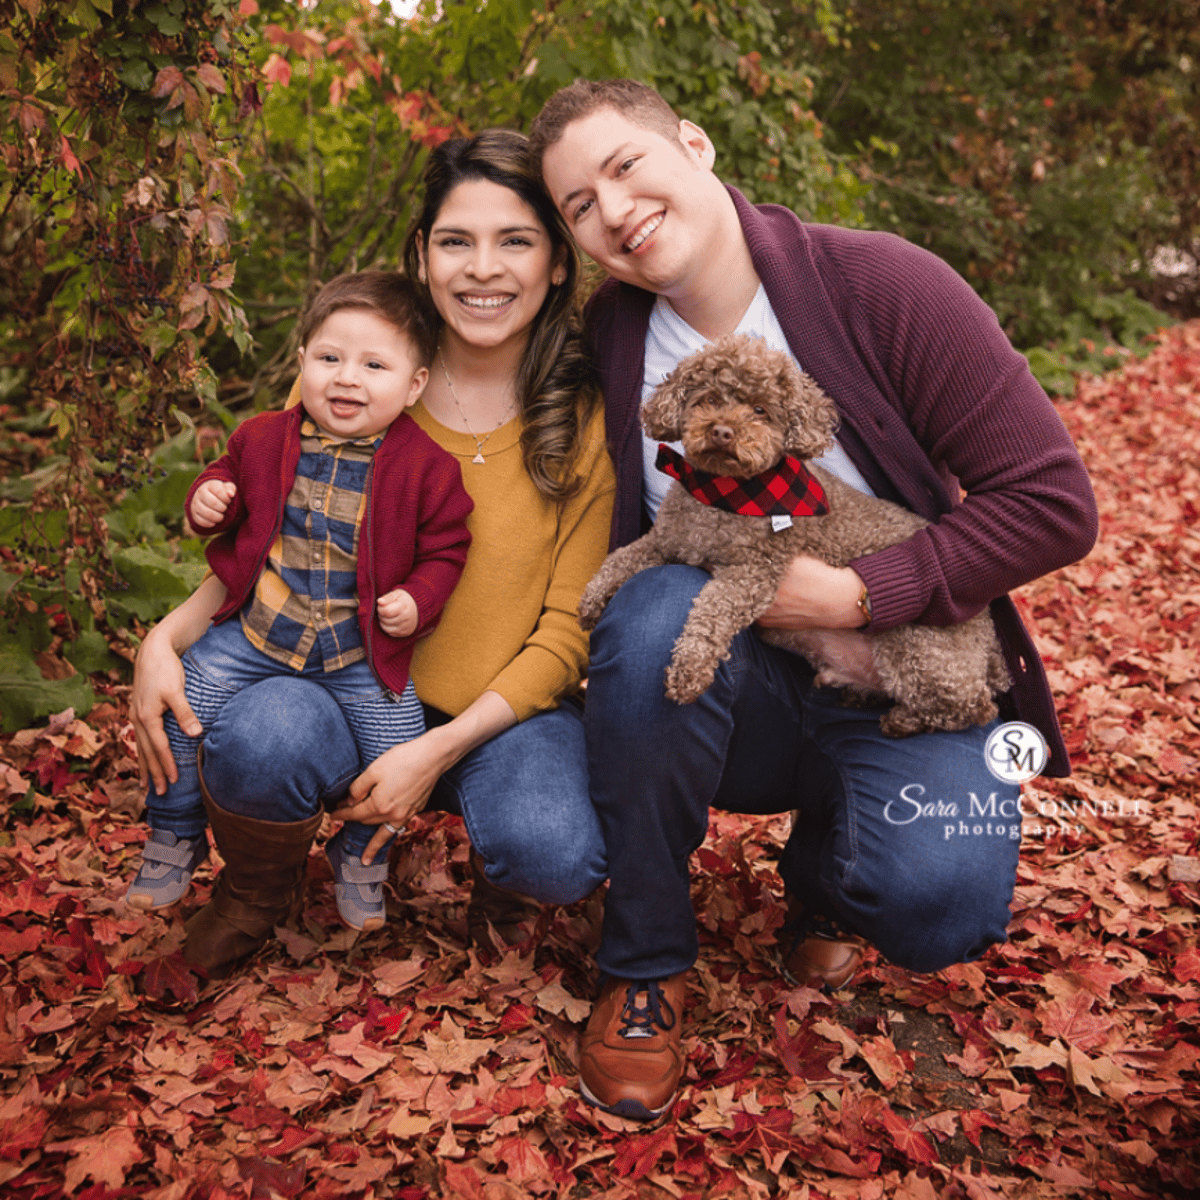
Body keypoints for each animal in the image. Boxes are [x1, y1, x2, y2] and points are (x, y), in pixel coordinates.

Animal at [578, 334, 1009, 737]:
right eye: (710, 398)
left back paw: (903, 721)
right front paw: (592, 598)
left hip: (917, 644)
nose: (722, 432)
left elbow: (712, 611)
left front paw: (690, 667)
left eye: (760, 410)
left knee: (976, 705)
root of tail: (989, 635)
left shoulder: (753, 573)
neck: (721, 493)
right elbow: (622, 556)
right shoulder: (668, 541)